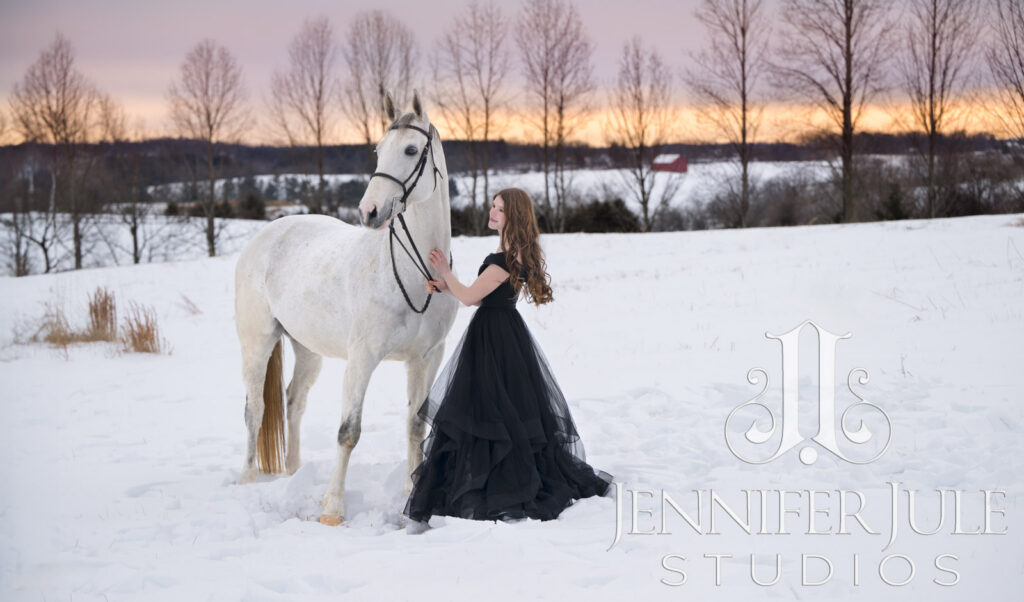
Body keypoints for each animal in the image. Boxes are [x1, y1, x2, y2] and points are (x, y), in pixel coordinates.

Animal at [233, 90, 457, 526]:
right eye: (377, 150)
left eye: (410, 149)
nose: (369, 212)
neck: (417, 269)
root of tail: (267, 234)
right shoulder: (362, 359)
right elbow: (348, 432)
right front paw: (333, 509)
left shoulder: (426, 358)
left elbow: (415, 425)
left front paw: (411, 496)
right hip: (257, 342)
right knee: (255, 408)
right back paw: (248, 480)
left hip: (307, 349)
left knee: (293, 402)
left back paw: (294, 472)